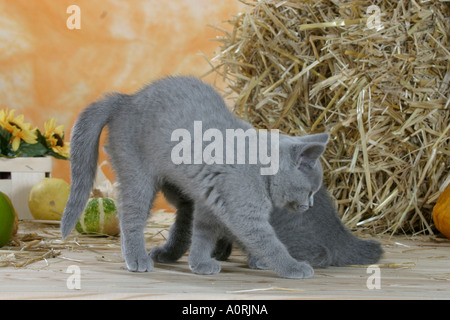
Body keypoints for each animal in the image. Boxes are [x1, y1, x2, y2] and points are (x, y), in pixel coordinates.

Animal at [60, 75, 326, 278]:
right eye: (310, 191)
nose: (311, 205)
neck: (260, 170)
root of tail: (127, 99)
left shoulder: (210, 204)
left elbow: (202, 233)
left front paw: (199, 263)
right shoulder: (245, 214)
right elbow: (270, 243)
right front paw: (293, 267)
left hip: (170, 185)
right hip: (138, 175)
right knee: (130, 216)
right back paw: (137, 258)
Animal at [149, 185, 382, 268]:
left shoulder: (189, 205)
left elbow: (180, 234)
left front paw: (166, 253)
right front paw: (217, 253)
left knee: (321, 254)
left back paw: (263, 261)